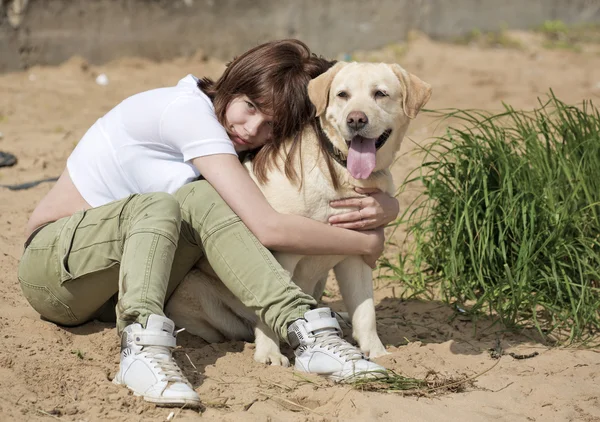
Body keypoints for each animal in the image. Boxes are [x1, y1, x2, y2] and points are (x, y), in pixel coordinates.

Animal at [164, 61, 432, 366]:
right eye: (342, 95)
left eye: (380, 93)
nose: (356, 120)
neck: (339, 170)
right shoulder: (281, 252)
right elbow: (269, 306)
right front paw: (269, 355)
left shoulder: (358, 254)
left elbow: (366, 312)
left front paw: (377, 353)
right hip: (195, 290)